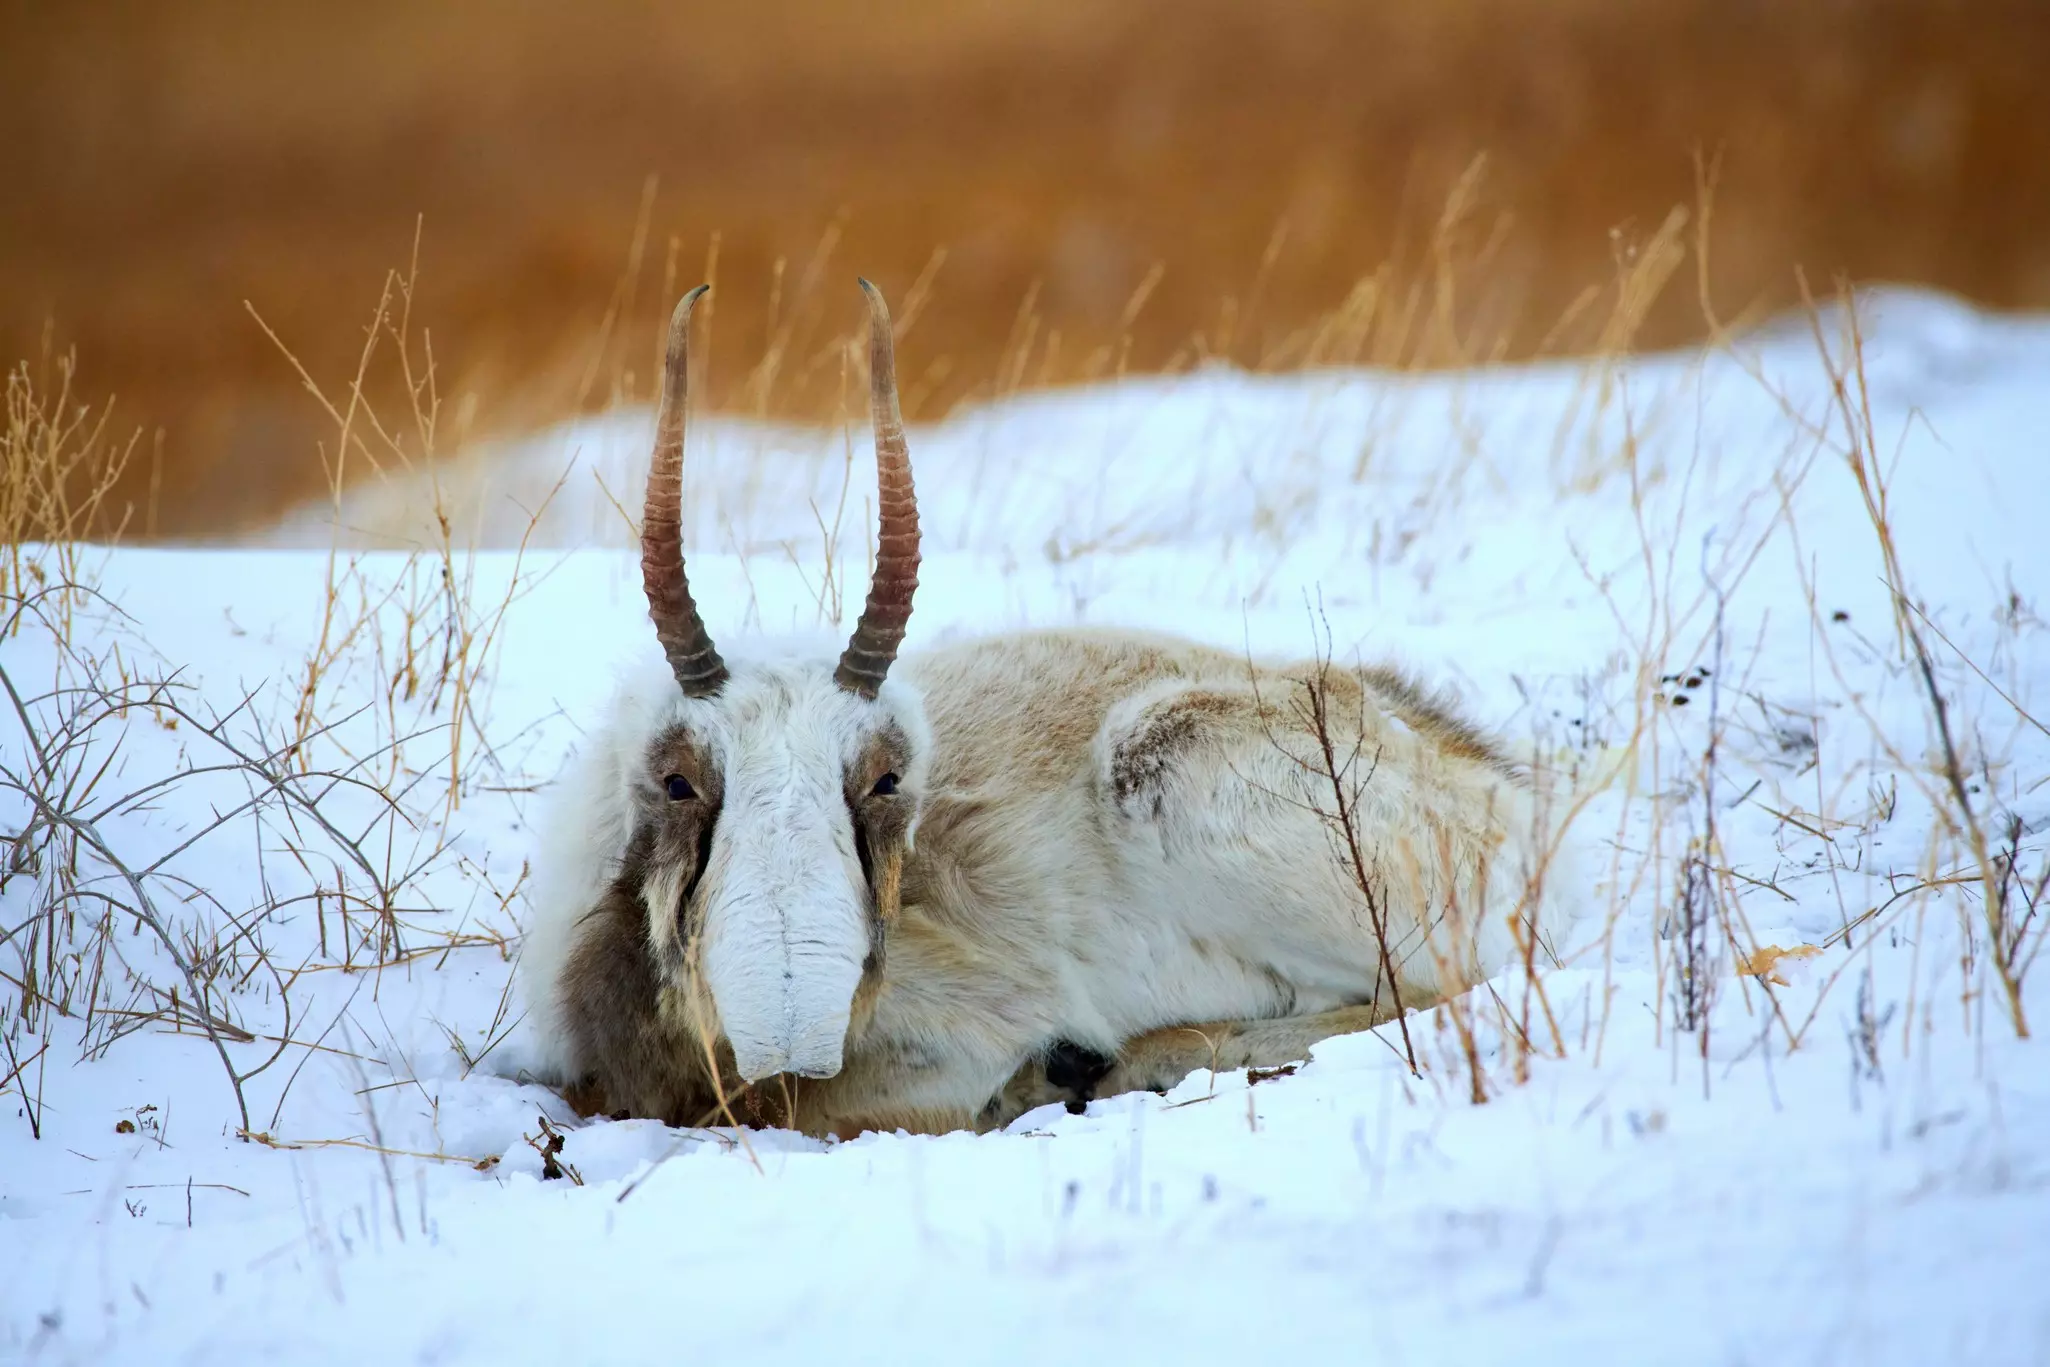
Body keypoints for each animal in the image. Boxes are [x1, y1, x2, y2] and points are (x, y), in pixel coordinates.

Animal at [520, 280, 1570, 1138]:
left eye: (888, 777)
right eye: (678, 780)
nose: (791, 1023)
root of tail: (1490, 787)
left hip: (1177, 770)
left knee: (1440, 989)